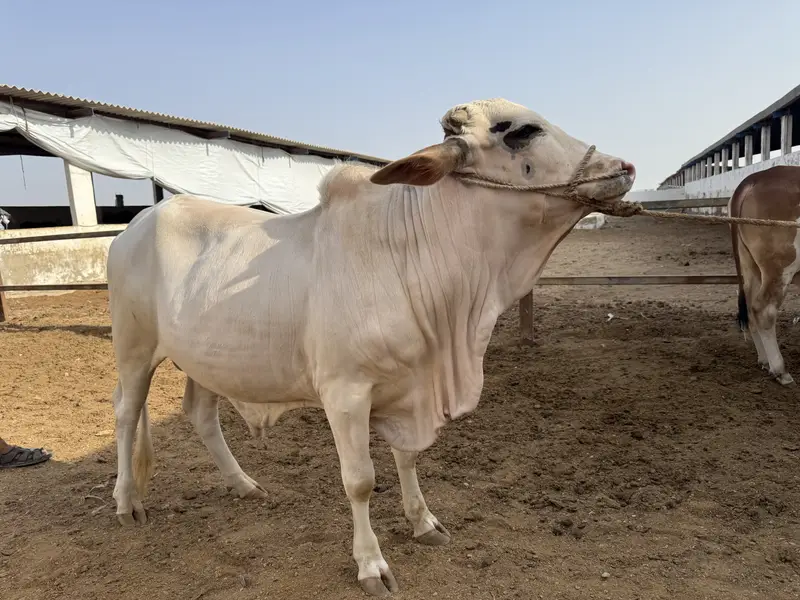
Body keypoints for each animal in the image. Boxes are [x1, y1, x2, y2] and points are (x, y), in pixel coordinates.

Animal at [107, 98, 636, 596]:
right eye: (521, 133)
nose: (623, 167)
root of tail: (136, 224)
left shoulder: (407, 389)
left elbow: (407, 457)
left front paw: (423, 522)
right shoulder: (345, 394)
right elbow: (360, 481)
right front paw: (371, 564)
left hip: (205, 360)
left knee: (200, 414)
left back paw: (244, 485)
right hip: (133, 349)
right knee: (125, 413)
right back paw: (127, 501)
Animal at [730, 165, 800, 386]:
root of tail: (757, 177)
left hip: (750, 266)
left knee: (750, 308)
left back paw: (764, 360)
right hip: (779, 267)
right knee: (764, 310)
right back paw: (780, 370)